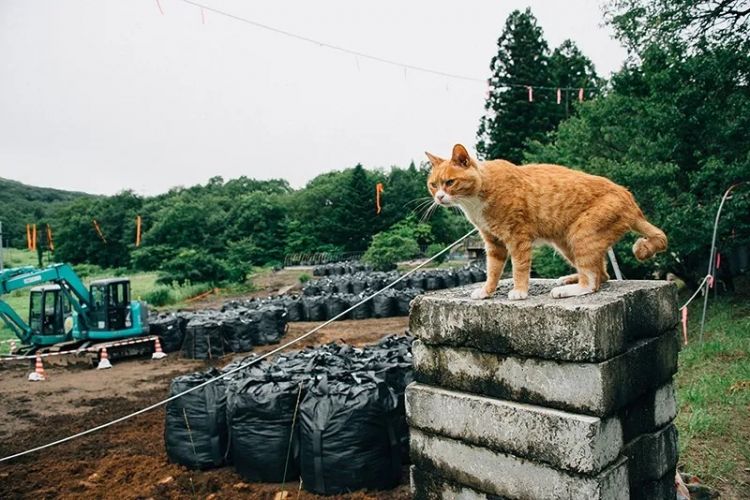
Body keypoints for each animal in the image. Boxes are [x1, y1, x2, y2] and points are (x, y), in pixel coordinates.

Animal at [426, 145, 668, 300]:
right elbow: (493, 271)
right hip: (567, 243)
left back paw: (568, 290)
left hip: (581, 235)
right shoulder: (493, 243)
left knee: (592, 281)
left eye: (450, 182)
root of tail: (630, 199)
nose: (439, 197)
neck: (475, 201)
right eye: (433, 184)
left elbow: (519, 268)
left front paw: (520, 291)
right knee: (602, 275)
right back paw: (569, 279)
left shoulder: (518, 238)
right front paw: (486, 292)